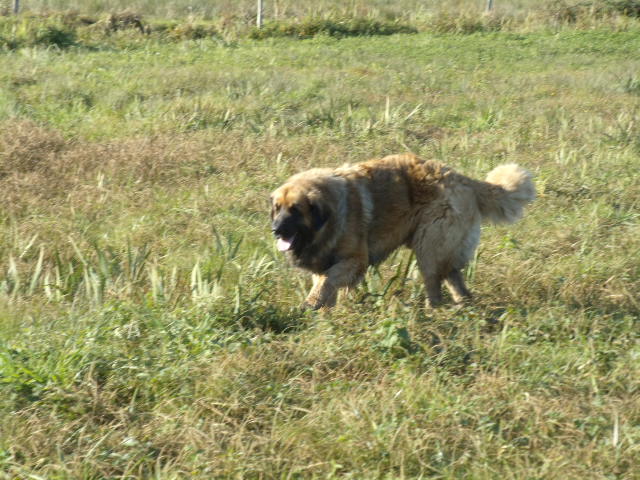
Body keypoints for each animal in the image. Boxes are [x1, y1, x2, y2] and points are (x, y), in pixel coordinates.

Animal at [270, 154, 536, 312]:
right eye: (277, 208)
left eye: (295, 210)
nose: (275, 230)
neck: (329, 218)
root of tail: (462, 179)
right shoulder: (325, 261)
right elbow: (326, 285)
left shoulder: (353, 261)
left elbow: (327, 281)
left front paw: (310, 305)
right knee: (454, 279)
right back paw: (463, 307)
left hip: (429, 247)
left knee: (435, 284)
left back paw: (433, 312)